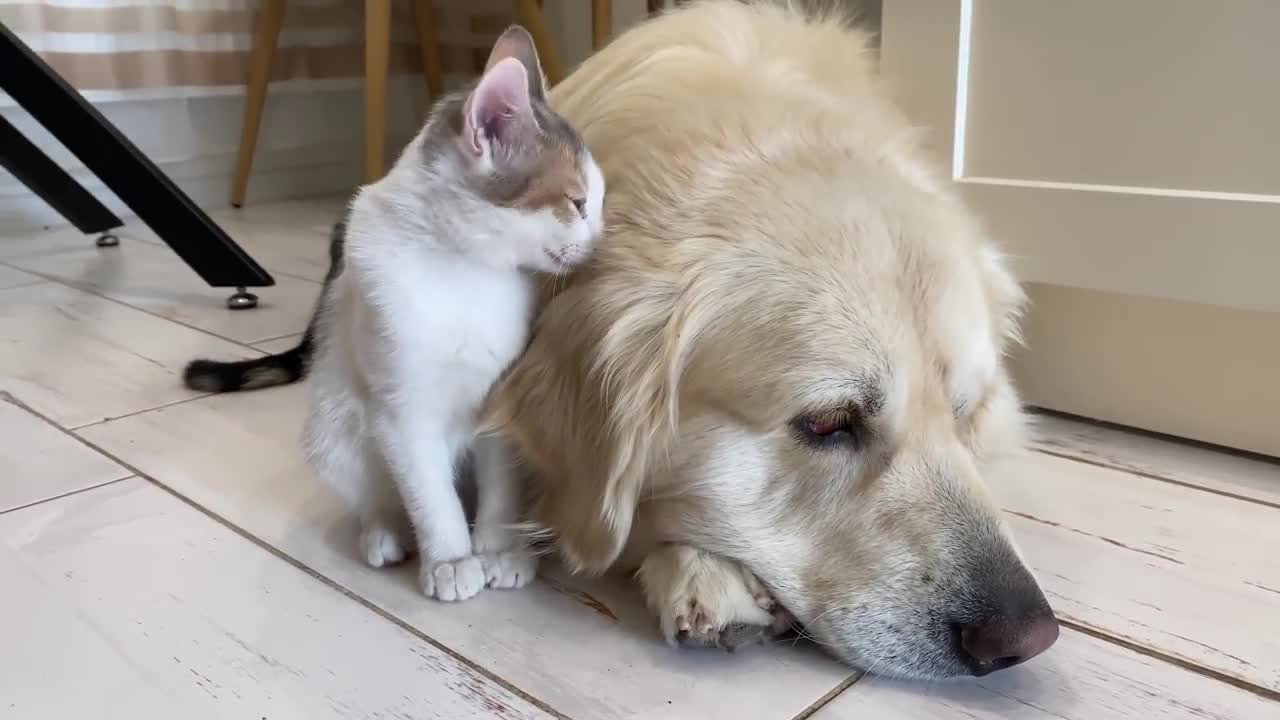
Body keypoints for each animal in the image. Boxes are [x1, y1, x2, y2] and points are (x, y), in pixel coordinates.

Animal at [183, 26, 606, 599]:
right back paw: (383, 533)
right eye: (577, 202)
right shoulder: (401, 410)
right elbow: (429, 494)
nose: (601, 243)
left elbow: (501, 483)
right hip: (333, 432)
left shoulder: (502, 399)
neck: (465, 274)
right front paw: (451, 558)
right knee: (377, 493)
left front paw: (498, 549)